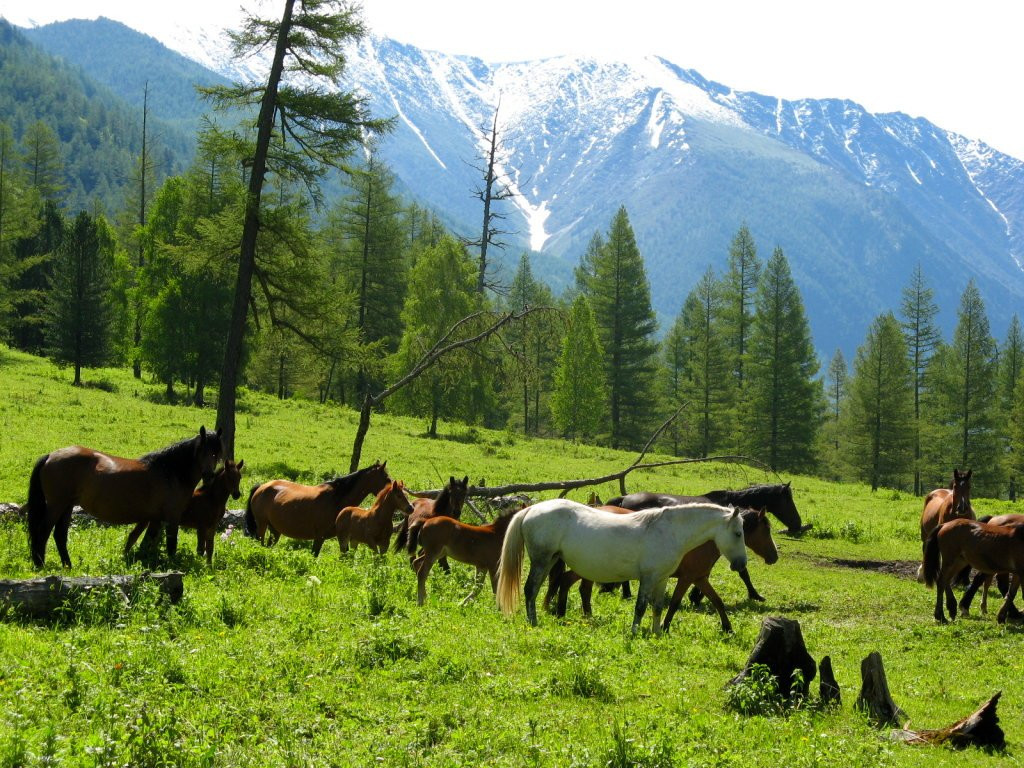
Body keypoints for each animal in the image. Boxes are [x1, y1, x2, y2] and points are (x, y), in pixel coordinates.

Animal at [25, 428, 224, 565]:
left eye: (216, 453)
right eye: (202, 451)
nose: (208, 475)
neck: (170, 471)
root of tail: (51, 455)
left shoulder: (155, 519)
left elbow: (146, 544)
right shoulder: (172, 517)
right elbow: (171, 545)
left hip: (67, 506)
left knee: (59, 535)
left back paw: (68, 566)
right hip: (57, 505)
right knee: (43, 531)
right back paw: (41, 564)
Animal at [244, 460, 391, 557]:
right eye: (387, 478)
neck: (336, 498)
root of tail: (262, 487)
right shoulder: (319, 537)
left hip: (275, 530)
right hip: (262, 525)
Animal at [495, 499, 745, 638]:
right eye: (738, 533)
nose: (741, 564)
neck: (668, 531)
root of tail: (531, 510)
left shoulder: (662, 578)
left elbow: (658, 607)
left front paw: (656, 633)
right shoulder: (648, 578)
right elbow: (641, 606)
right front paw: (635, 632)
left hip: (549, 561)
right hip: (541, 560)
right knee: (530, 589)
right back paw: (533, 622)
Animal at [552, 507, 774, 634]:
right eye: (738, 533)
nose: (740, 563)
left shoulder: (689, 578)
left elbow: (714, 600)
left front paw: (728, 628)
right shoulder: (678, 577)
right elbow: (666, 604)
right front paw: (657, 629)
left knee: (572, 584)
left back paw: (566, 614)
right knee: (572, 584)